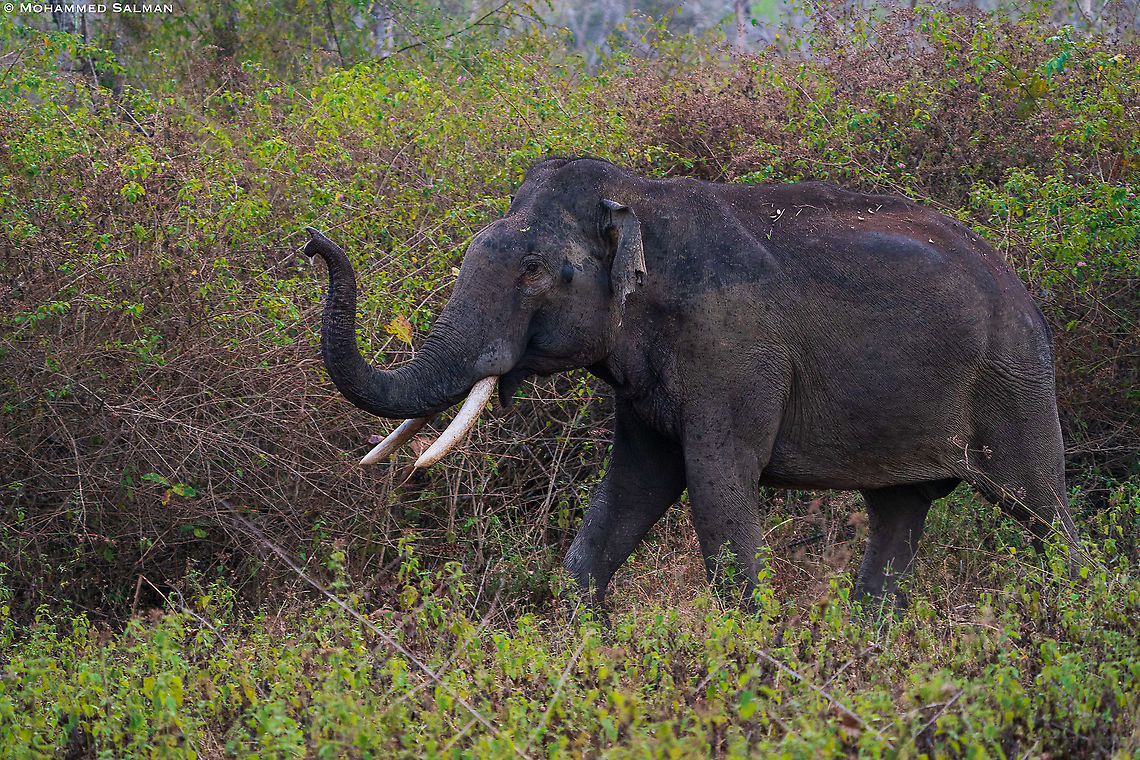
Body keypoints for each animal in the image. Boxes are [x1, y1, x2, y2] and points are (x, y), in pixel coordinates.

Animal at [304, 157, 1083, 610]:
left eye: (534, 272)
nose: (313, 240)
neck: (639, 201)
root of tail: (1022, 288)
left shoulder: (732, 352)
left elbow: (717, 487)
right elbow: (633, 490)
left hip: (1013, 382)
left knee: (1042, 509)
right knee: (897, 515)